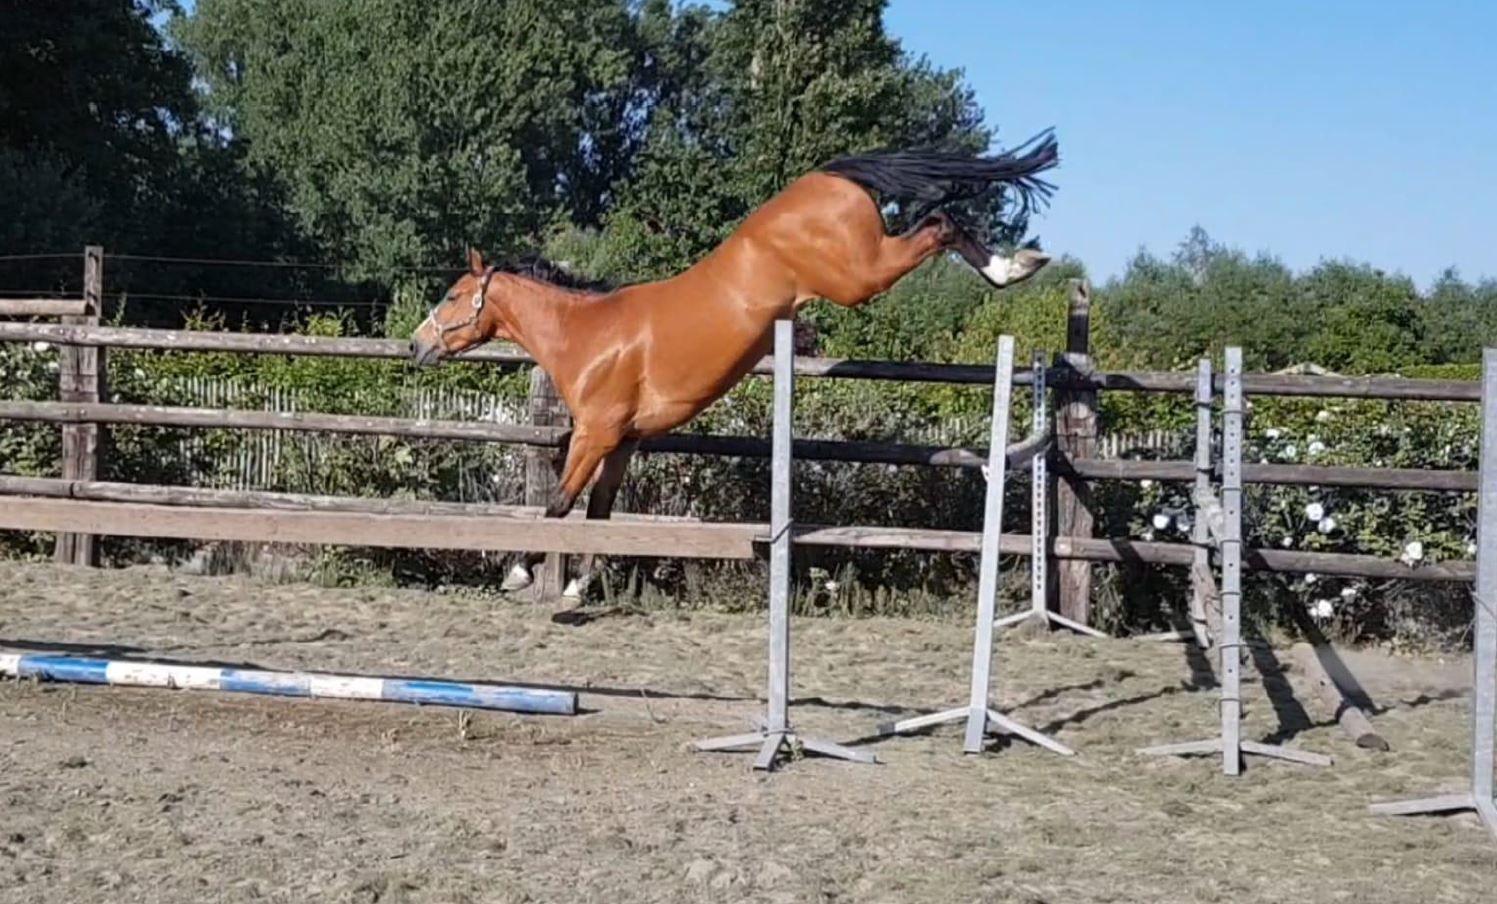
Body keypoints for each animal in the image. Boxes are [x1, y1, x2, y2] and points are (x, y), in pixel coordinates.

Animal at [409, 129, 1060, 598]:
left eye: (451, 295)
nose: (418, 345)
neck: (589, 336)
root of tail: (826, 176)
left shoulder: (597, 433)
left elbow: (559, 503)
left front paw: (520, 572)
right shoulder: (622, 440)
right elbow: (599, 509)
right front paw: (577, 585)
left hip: (860, 275)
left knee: (938, 224)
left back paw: (1010, 268)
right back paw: (1020, 262)